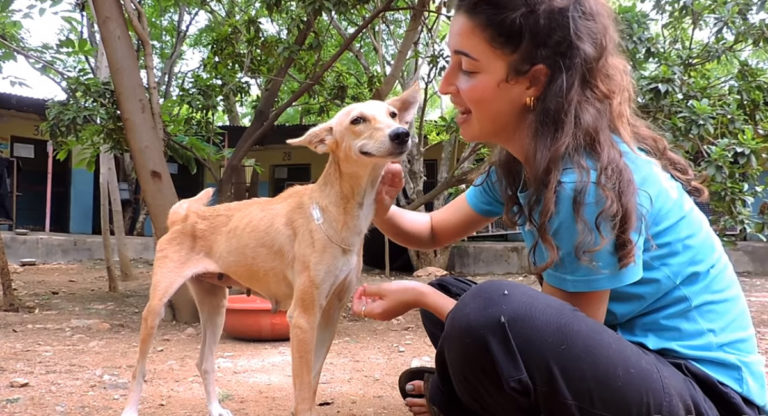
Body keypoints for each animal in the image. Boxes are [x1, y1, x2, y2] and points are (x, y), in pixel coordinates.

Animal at [121, 85, 420, 416]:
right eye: (357, 120)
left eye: (393, 115)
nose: (401, 134)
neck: (336, 212)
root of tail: (185, 216)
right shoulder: (302, 317)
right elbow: (302, 396)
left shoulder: (329, 314)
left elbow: (311, 385)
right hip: (156, 309)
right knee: (139, 368)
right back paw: (131, 408)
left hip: (215, 305)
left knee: (204, 362)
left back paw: (215, 408)